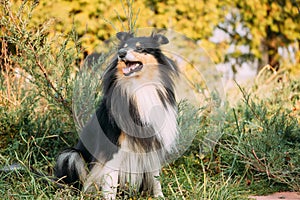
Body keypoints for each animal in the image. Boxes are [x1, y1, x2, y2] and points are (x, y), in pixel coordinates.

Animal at [54, 32, 178, 199]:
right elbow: (110, 184)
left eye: (140, 48)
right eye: (123, 47)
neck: (138, 87)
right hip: (71, 156)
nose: (121, 54)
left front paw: (160, 196)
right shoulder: (112, 150)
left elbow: (155, 177)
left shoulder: (153, 143)